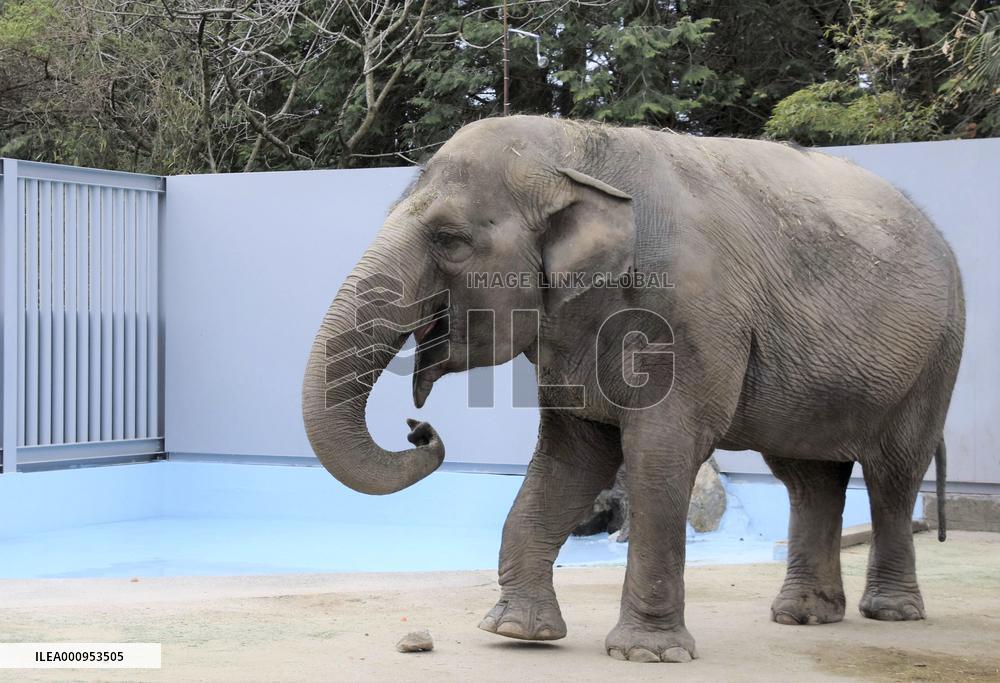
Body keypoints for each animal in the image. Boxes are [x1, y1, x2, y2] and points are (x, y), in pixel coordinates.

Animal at [302, 115, 965, 663]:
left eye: (450, 240)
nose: (420, 429)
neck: (578, 149)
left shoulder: (691, 320)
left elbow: (658, 453)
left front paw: (647, 654)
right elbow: (572, 456)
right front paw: (518, 632)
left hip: (937, 358)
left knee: (891, 475)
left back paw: (891, 613)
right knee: (808, 478)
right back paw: (802, 617)